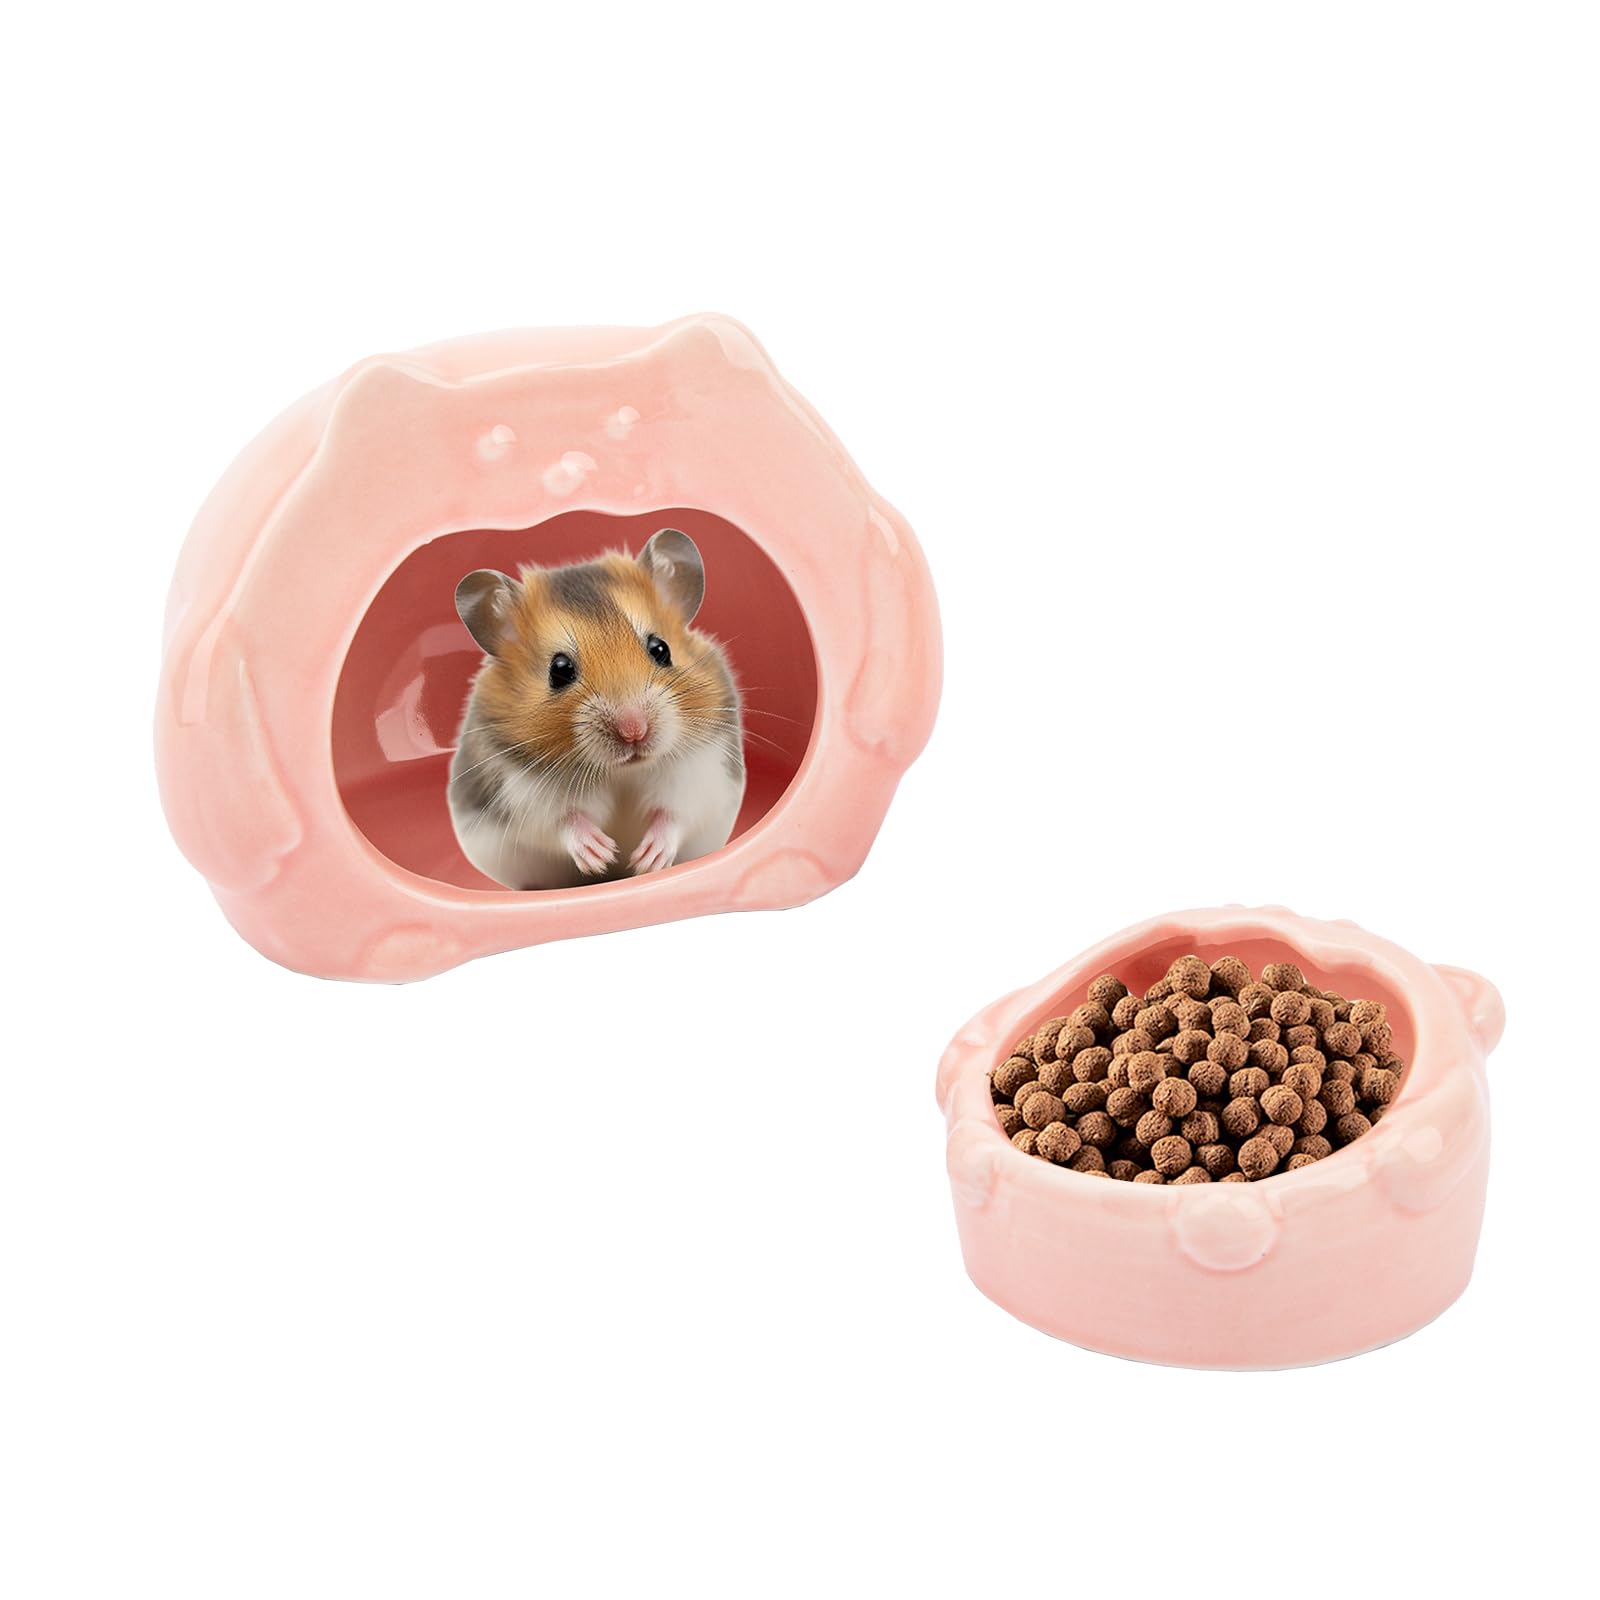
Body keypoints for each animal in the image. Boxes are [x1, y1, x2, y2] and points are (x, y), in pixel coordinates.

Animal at [447, 528, 746, 890]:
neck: (621, 773)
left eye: (660, 649)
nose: (634, 731)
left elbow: (673, 815)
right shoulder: (522, 791)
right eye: (559, 670)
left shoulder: (700, 773)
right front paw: (601, 854)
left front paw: (647, 859)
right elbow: (565, 821)